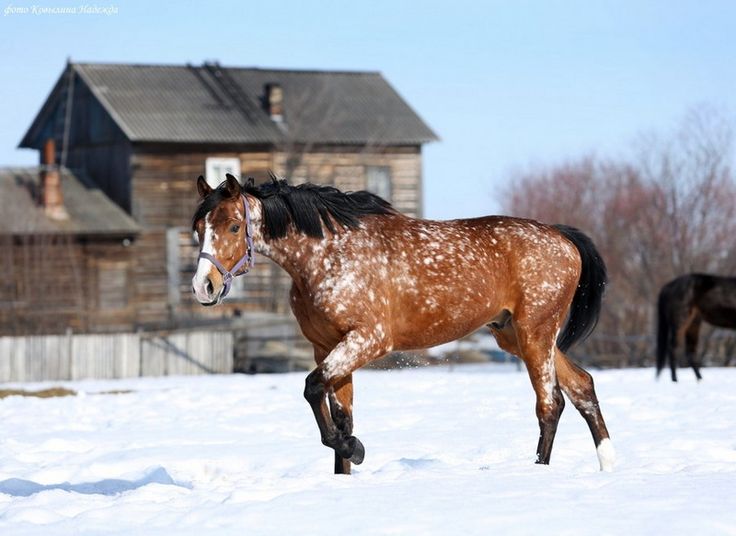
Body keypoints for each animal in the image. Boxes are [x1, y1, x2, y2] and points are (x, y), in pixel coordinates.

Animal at [191, 175, 616, 474]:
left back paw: (539, 473)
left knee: (550, 403)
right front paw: (344, 467)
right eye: (198, 228)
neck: (327, 255)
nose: (203, 287)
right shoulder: (326, 346)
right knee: (581, 388)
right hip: (515, 335)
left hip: (535, 333)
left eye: (233, 227)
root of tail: (562, 237)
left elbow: (314, 391)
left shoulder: (368, 340)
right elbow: (340, 415)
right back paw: (608, 466)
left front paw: (356, 450)